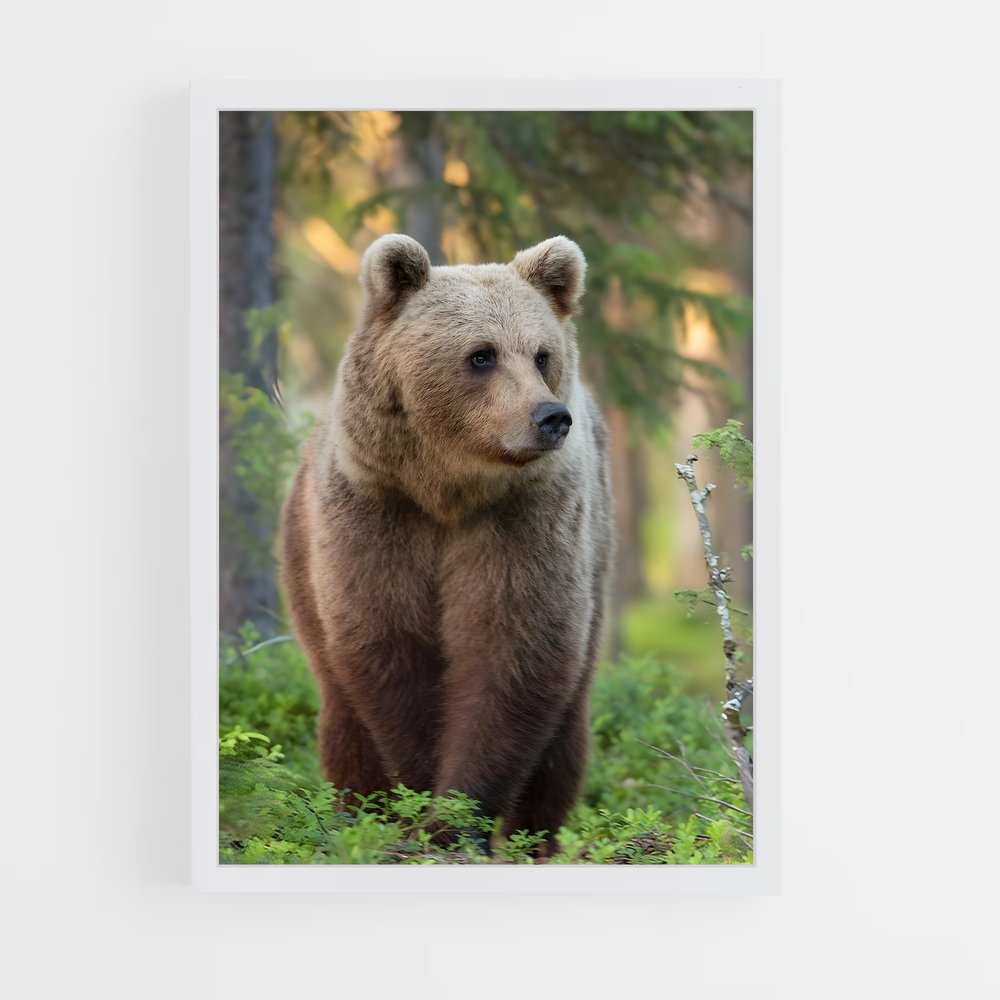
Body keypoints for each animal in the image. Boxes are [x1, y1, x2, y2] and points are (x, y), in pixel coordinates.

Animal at [280, 233, 614, 853]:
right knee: (343, 723)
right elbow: (388, 644)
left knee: (564, 740)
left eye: (541, 355)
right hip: (301, 566)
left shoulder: (524, 521)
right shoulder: (375, 512)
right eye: (481, 355)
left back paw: (535, 844)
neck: (447, 492)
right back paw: (359, 816)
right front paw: (418, 798)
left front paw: (457, 818)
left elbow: (511, 651)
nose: (550, 417)